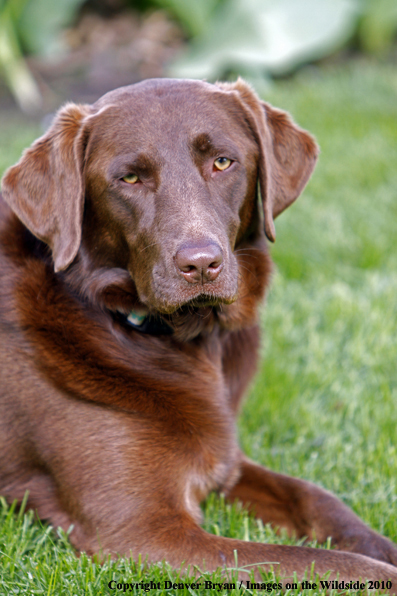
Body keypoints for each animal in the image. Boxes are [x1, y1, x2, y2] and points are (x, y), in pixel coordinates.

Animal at [0, 77, 396, 584]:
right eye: (129, 178)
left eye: (223, 162)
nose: (202, 265)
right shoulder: (143, 531)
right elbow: (316, 562)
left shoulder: (228, 462)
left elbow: (318, 499)